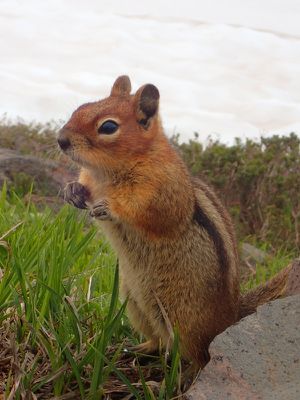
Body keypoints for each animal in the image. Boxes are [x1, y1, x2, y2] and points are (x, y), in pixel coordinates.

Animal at [58, 76, 292, 372]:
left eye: (108, 127)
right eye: (81, 107)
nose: (60, 140)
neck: (108, 174)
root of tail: (231, 316)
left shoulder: (163, 190)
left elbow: (150, 212)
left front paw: (110, 207)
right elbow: (84, 185)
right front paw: (73, 190)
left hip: (182, 318)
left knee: (200, 355)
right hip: (135, 303)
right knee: (158, 340)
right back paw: (132, 350)